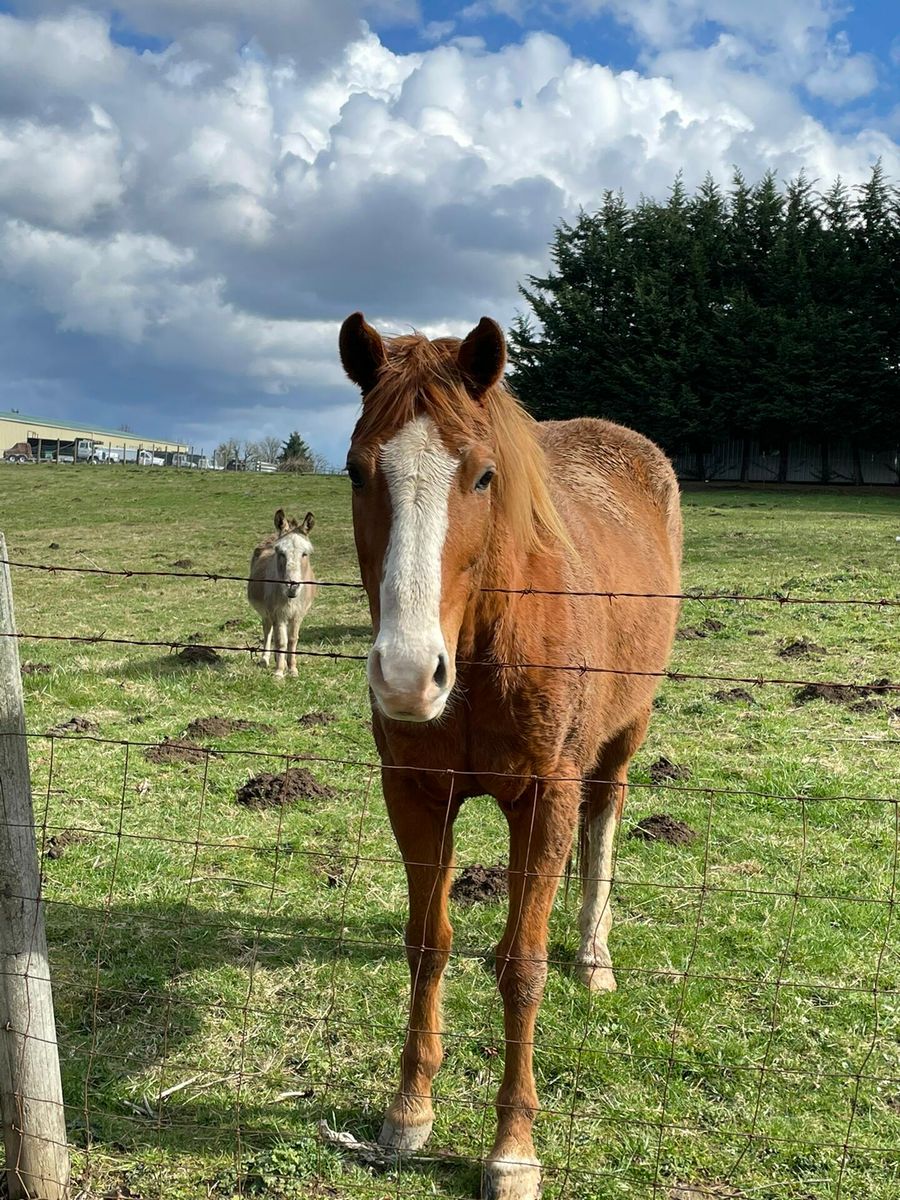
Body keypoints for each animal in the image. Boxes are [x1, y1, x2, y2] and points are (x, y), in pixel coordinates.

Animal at [247, 508, 316, 678]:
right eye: (280, 553)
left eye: (305, 553)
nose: (292, 586)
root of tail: (273, 536)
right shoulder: (277, 614)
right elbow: (280, 641)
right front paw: (279, 672)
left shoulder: (297, 614)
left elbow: (292, 640)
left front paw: (292, 669)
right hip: (267, 613)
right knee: (268, 631)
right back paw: (265, 660)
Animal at [340, 311, 682, 1200]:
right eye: (357, 472)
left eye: (484, 477)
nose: (405, 674)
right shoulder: (415, 794)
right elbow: (429, 943)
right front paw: (408, 1111)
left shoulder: (546, 796)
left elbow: (520, 965)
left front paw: (512, 1148)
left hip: (622, 739)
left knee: (604, 821)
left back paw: (593, 953)